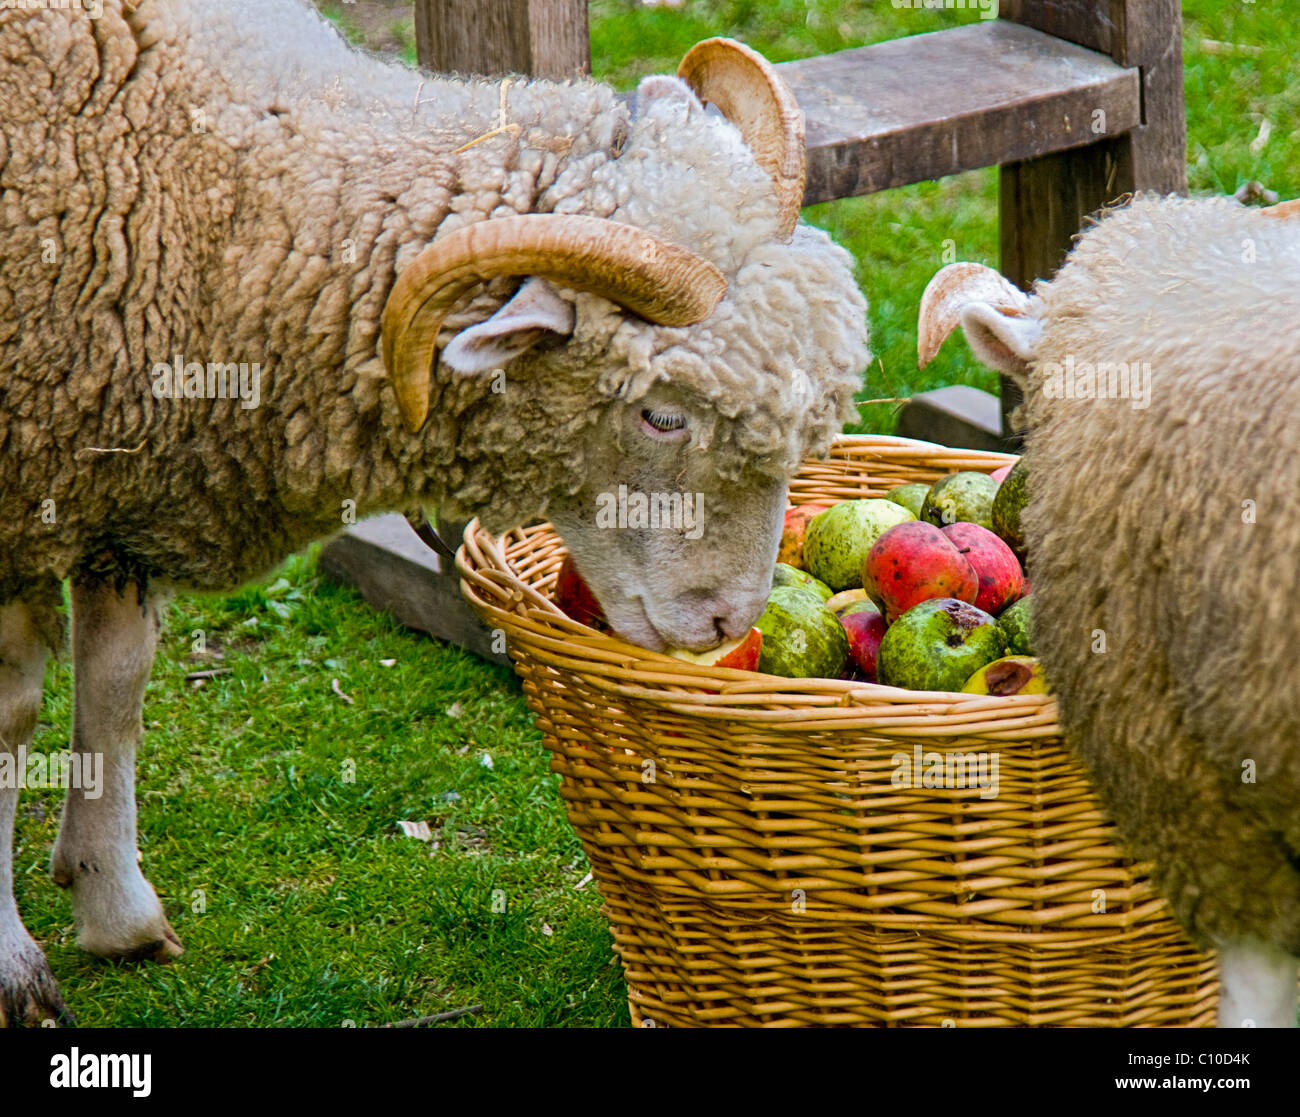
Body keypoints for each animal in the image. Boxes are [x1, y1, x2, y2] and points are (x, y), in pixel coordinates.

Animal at [0, 0, 869, 1025]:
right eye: (661, 414)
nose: (730, 623)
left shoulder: (109, 474)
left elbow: (116, 684)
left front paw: (113, 902)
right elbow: (16, 713)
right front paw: (16, 962)